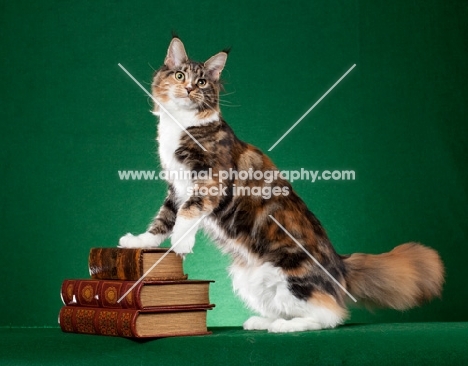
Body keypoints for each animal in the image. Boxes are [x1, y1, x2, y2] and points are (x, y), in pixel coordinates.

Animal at [119, 36, 444, 332]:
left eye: (201, 82)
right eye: (179, 75)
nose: (188, 89)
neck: (180, 126)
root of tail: (340, 264)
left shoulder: (210, 180)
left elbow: (187, 213)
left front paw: (181, 243)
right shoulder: (176, 188)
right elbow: (162, 220)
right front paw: (139, 242)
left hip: (290, 275)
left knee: (331, 315)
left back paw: (284, 327)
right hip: (249, 276)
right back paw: (262, 321)